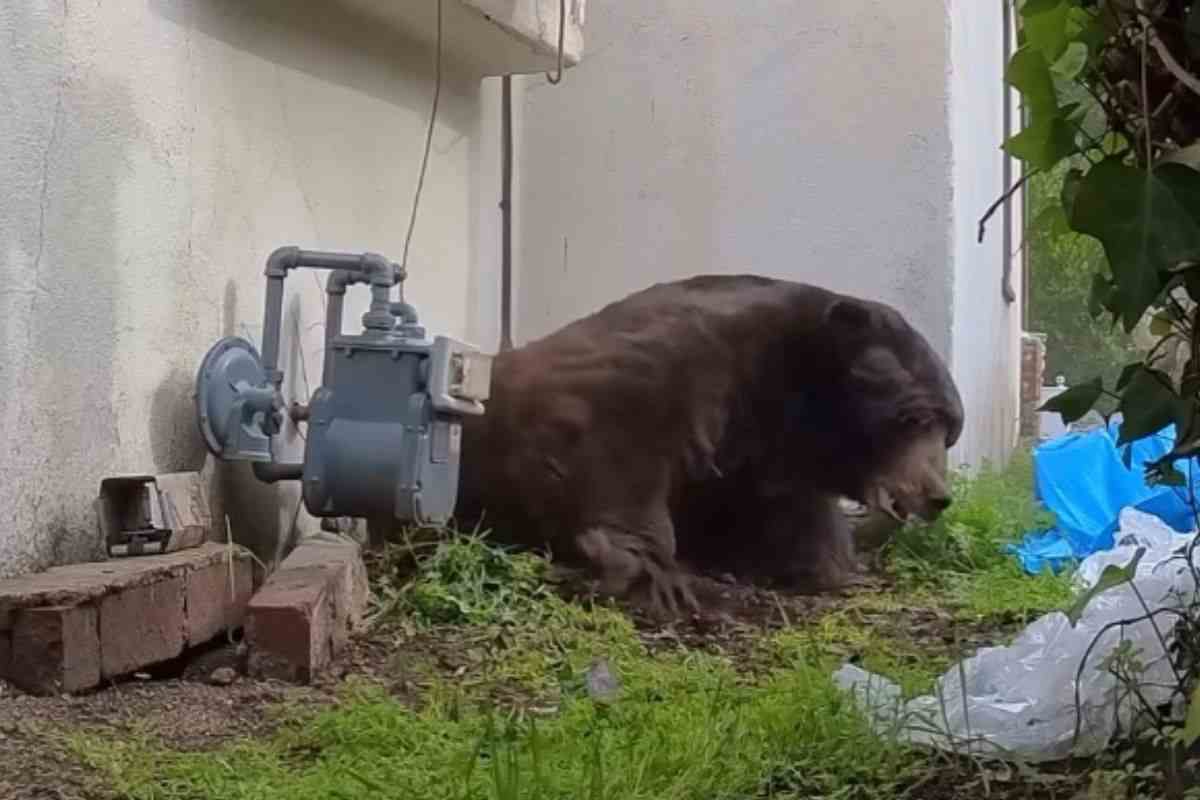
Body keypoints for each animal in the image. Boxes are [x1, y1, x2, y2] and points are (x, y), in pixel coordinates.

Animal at [453, 274, 964, 618]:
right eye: (917, 417)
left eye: (951, 430)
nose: (938, 495)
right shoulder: (670, 373)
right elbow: (606, 449)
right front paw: (650, 571)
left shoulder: (756, 452)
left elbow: (790, 517)